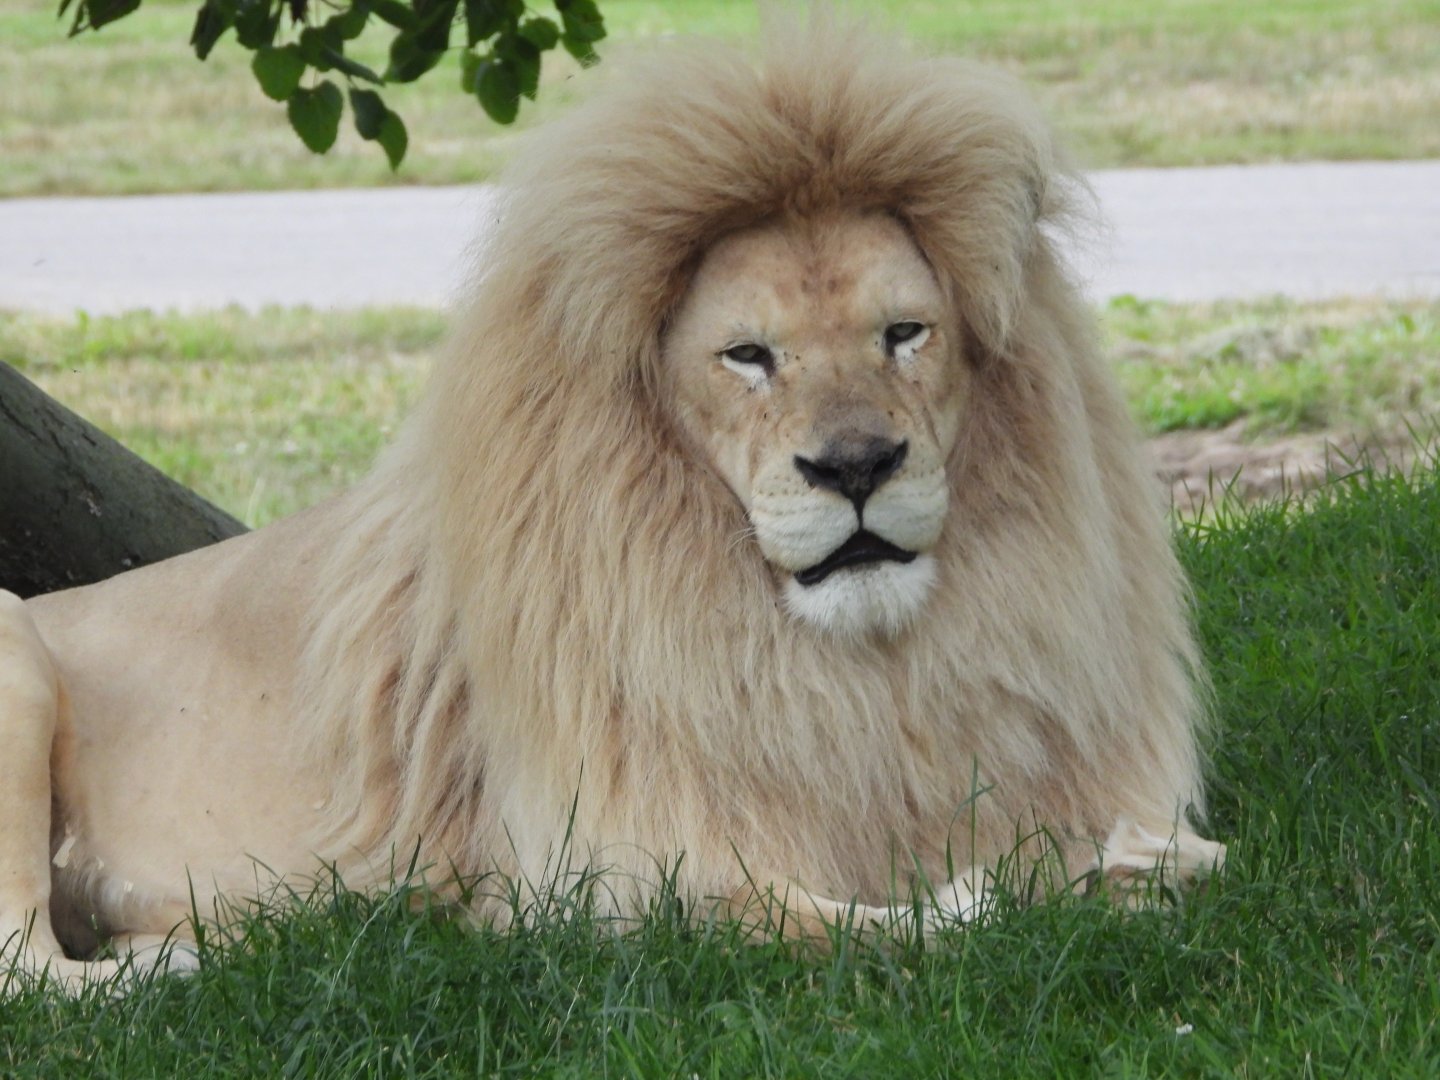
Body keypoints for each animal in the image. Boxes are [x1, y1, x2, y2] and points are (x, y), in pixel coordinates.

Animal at [0, 9, 1223, 993]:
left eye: (905, 332)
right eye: (747, 355)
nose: (858, 466)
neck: (857, 672)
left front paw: (1137, 860)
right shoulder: (604, 884)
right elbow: (834, 918)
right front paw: (1034, 888)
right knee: (28, 971)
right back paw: (193, 962)